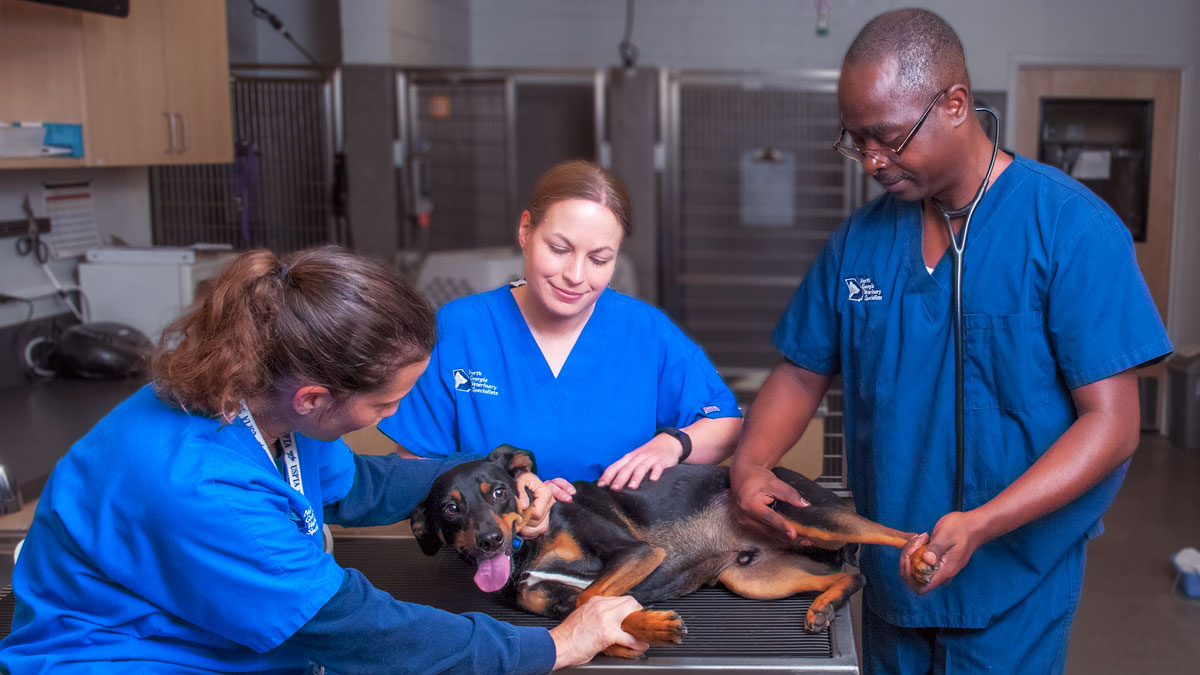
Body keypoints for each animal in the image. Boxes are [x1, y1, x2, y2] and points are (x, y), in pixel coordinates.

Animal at [412, 444, 936, 653]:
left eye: (499, 491)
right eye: (451, 508)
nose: (490, 541)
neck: (527, 552)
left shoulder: (635, 553)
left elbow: (591, 594)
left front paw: (649, 624)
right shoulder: (558, 602)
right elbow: (591, 607)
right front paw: (652, 627)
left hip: (809, 516)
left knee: (888, 531)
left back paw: (923, 556)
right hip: (752, 578)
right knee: (851, 574)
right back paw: (823, 607)